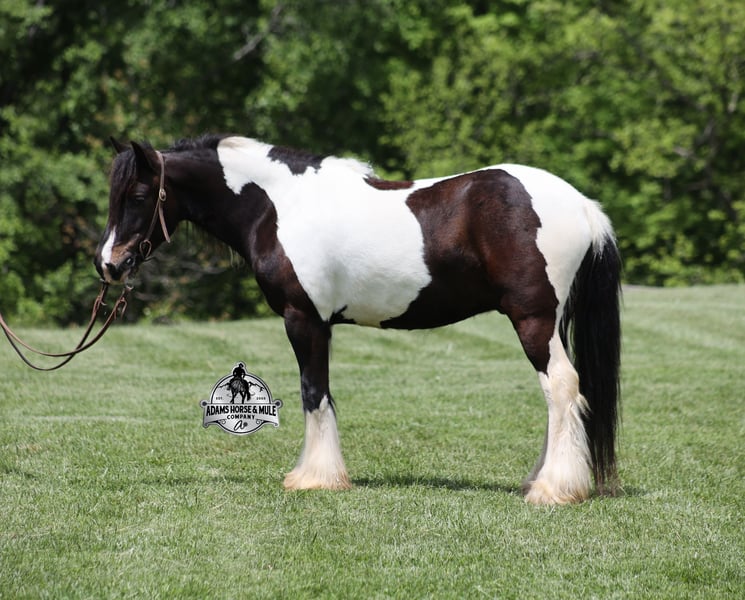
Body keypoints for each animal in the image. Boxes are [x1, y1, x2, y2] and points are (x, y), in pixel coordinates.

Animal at [94, 134, 621, 505]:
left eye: (138, 195)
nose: (109, 265)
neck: (280, 205)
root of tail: (582, 206)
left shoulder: (304, 319)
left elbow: (313, 393)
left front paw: (315, 477)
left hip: (534, 320)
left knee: (561, 387)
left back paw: (554, 489)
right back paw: (539, 481)